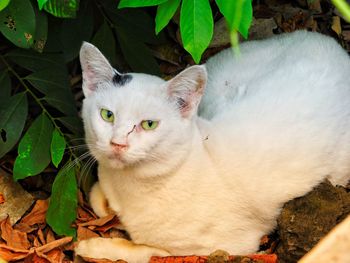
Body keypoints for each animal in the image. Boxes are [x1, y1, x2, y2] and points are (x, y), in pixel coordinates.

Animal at [74, 31, 350, 263]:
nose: (117, 143)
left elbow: (140, 251)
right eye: (107, 115)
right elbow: (98, 197)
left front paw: (90, 247)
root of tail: (323, 39)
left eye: (149, 124)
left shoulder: (222, 246)